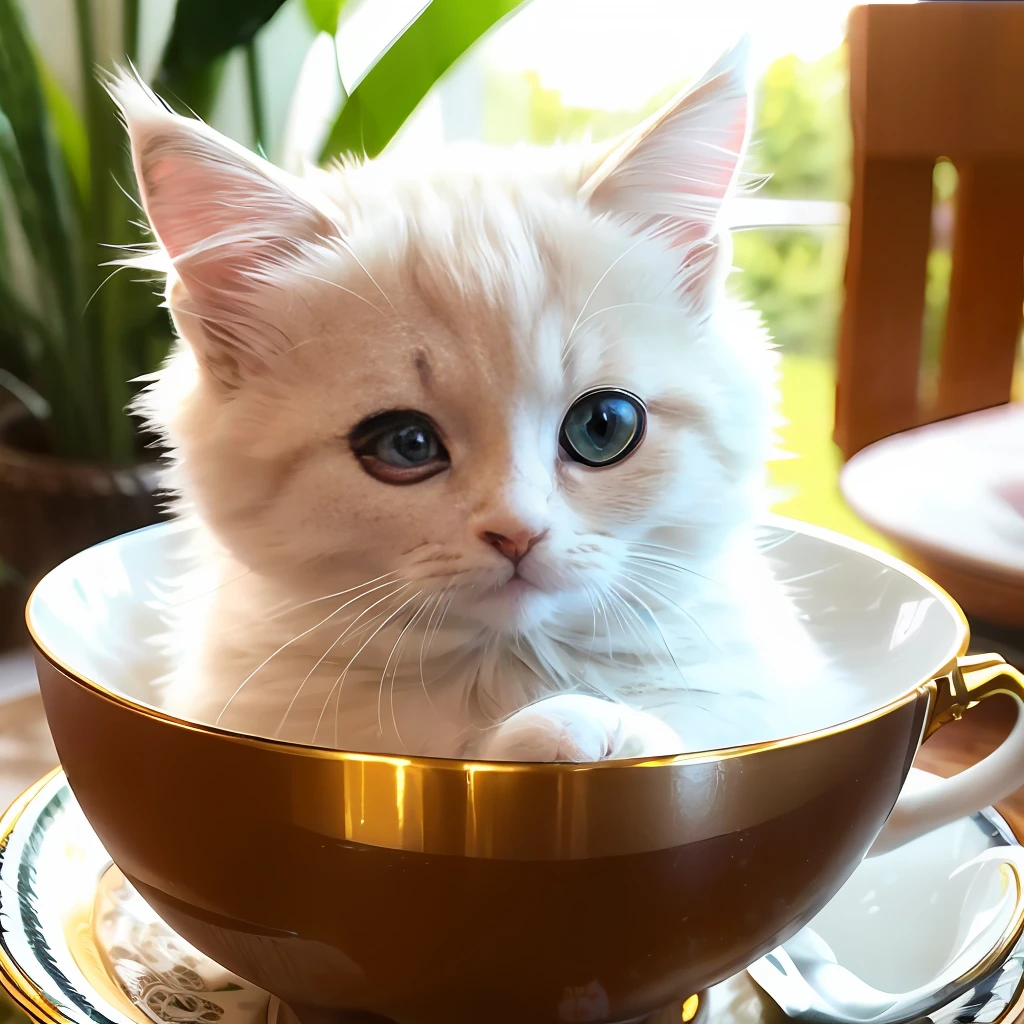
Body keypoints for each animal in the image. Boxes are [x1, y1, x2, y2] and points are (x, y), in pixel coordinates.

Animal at [112, 41, 827, 761]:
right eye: (406, 444)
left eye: (603, 427)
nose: (517, 532)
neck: (502, 676)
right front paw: (562, 731)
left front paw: (601, 728)